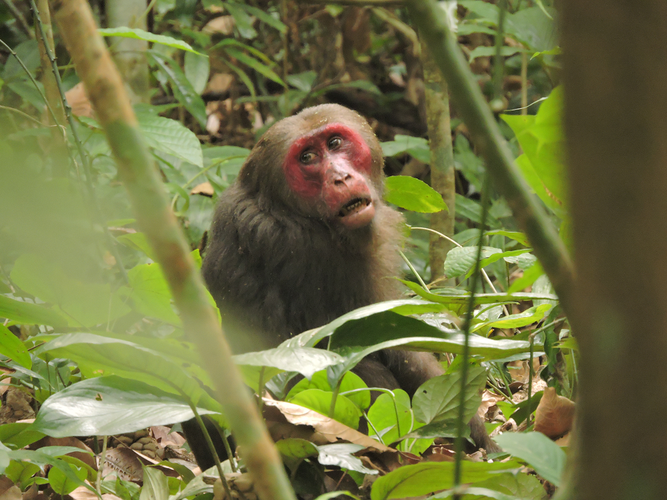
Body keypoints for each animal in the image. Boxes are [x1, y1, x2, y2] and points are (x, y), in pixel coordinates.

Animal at [187, 102, 496, 468]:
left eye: (334, 143)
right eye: (307, 158)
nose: (341, 177)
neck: (281, 205)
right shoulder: (319, 253)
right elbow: (385, 342)